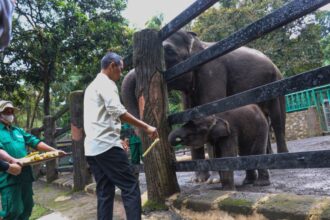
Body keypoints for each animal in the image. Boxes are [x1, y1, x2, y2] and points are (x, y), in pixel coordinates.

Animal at [120, 30, 286, 182]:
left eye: (169, 51)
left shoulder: (212, 69)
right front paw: (199, 180)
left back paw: (281, 159)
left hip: (277, 80)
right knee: (266, 120)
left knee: (278, 119)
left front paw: (214, 179)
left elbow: (211, 106)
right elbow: (189, 111)